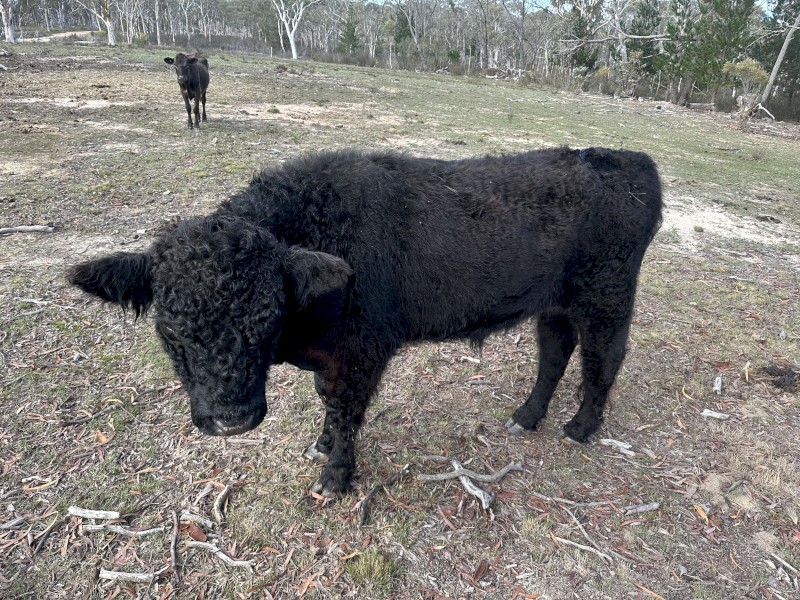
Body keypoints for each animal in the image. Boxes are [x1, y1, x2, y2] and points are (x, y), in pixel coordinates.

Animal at [68, 147, 662, 497]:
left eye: (267, 315)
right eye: (170, 329)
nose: (230, 421)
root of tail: (627, 159)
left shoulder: (361, 353)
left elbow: (347, 408)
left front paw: (335, 476)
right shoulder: (331, 357)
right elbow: (327, 403)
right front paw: (322, 444)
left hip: (606, 299)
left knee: (603, 358)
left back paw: (581, 428)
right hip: (555, 304)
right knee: (555, 353)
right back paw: (527, 416)